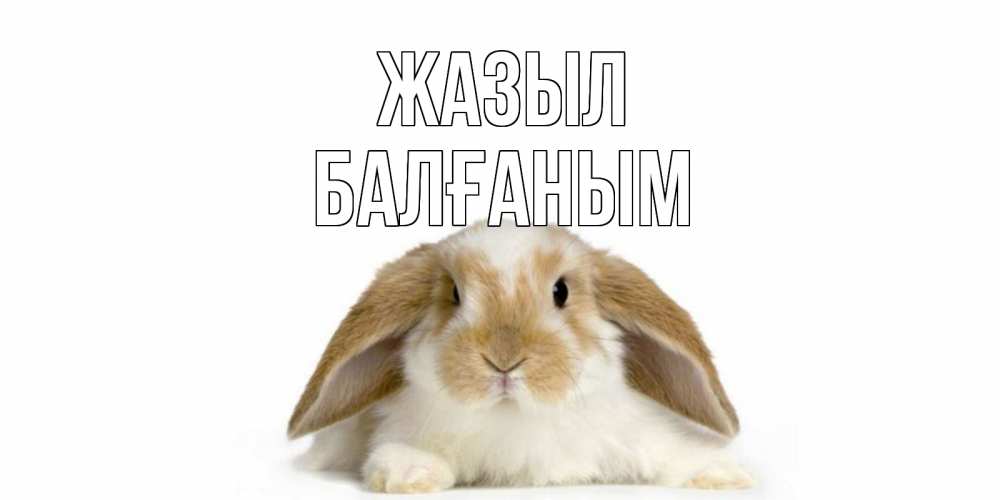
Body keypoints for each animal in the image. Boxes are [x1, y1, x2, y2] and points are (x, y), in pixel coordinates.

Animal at [288, 223, 753, 493]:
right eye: (454, 294)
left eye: (561, 291)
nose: (504, 359)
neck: (514, 416)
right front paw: (409, 475)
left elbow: (671, 452)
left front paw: (724, 475)